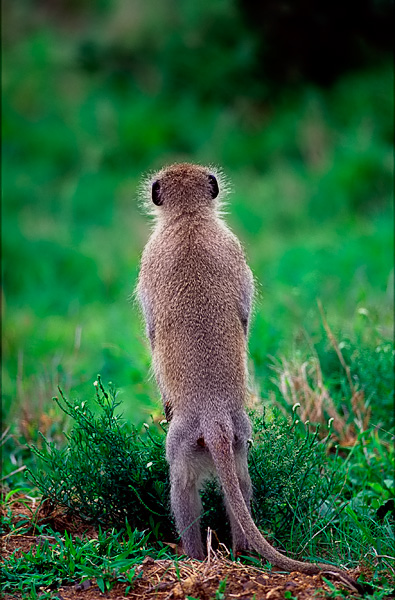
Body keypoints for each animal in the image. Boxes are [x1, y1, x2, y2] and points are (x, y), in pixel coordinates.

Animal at [137, 162, 362, 588]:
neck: (190, 220)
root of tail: (214, 417)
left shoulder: (148, 258)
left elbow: (153, 330)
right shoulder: (235, 249)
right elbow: (243, 316)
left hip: (183, 441)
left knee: (183, 485)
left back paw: (192, 555)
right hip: (241, 433)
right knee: (238, 484)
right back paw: (242, 551)